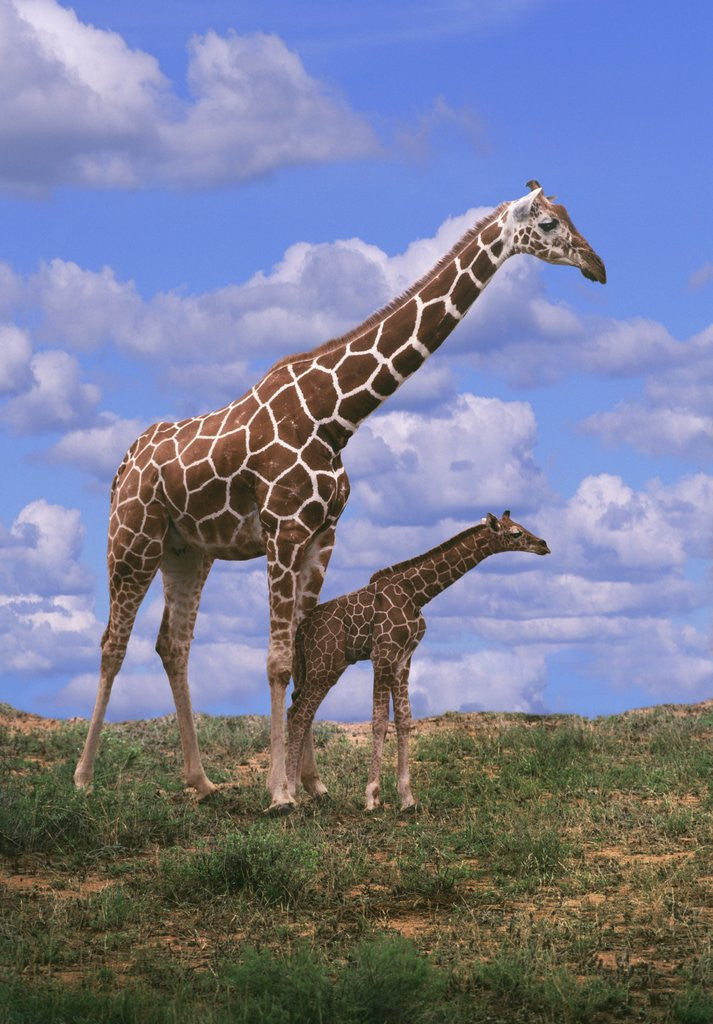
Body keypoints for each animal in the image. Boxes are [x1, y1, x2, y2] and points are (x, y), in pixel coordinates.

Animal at [287, 511, 550, 811]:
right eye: (516, 533)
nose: (544, 544)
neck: (416, 594)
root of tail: (302, 632)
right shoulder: (383, 654)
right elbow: (379, 721)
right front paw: (372, 797)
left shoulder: (404, 658)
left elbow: (404, 719)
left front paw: (407, 798)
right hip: (326, 666)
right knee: (299, 715)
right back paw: (290, 794)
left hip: (314, 669)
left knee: (298, 712)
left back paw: (304, 789)